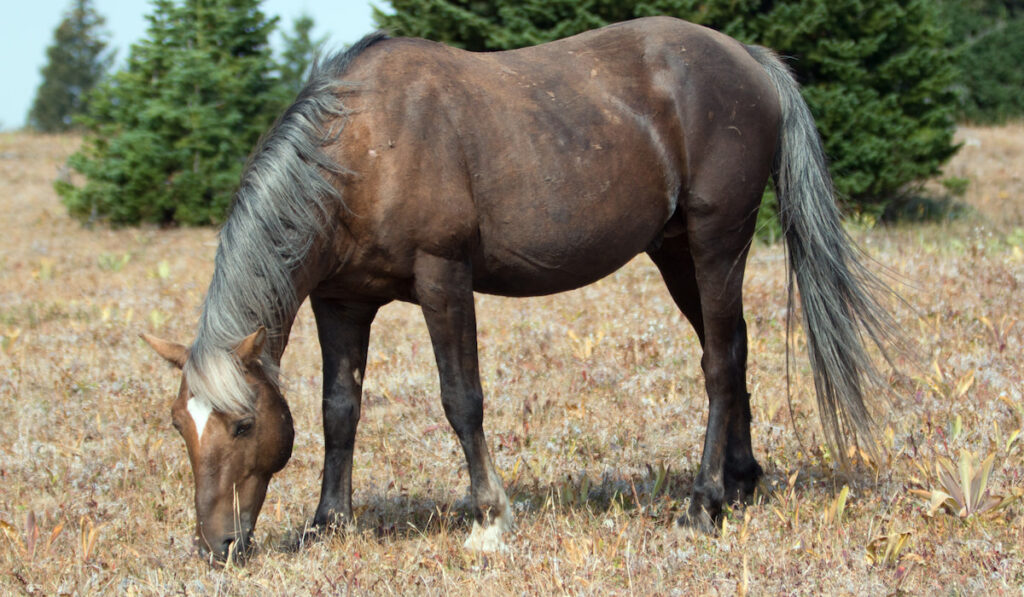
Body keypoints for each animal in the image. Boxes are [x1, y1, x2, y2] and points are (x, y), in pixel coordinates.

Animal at [142, 16, 897, 561]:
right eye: (180, 424)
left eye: (243, 424)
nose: (217, 545)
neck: (361, 148)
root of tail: (748, 56)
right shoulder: (342, 302)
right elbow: (339, 410)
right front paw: (328, 521)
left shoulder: (444, 278)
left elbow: (462, 399)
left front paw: (489, 514)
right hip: (678, 252)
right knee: (731, 352)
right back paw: (739, 485)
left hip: (718, 244)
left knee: (719, 363)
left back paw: (703, 502)